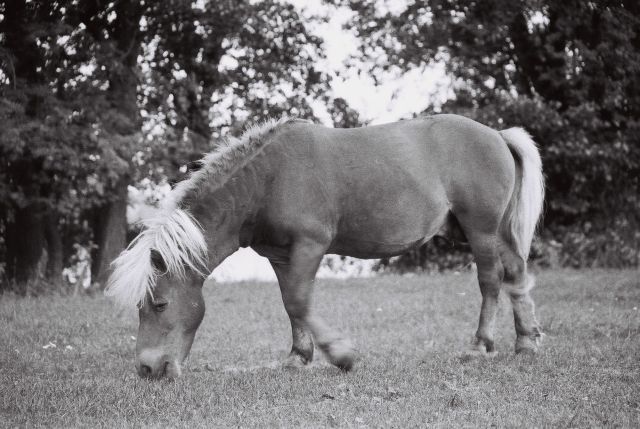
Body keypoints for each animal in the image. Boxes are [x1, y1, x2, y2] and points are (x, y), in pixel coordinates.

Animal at [106, 113, 544, 378]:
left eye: (160, 304)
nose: (148, 369)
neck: (268, 179)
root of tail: (497, 134)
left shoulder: (310, 246)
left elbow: (300, 302)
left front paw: (340, 354)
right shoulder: (282, 256)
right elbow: (290, 304)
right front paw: (298, 357)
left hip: (481, 230)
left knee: (490, 281)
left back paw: (482, 345)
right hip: (488, 232)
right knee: (516, 274)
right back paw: (526, 341)